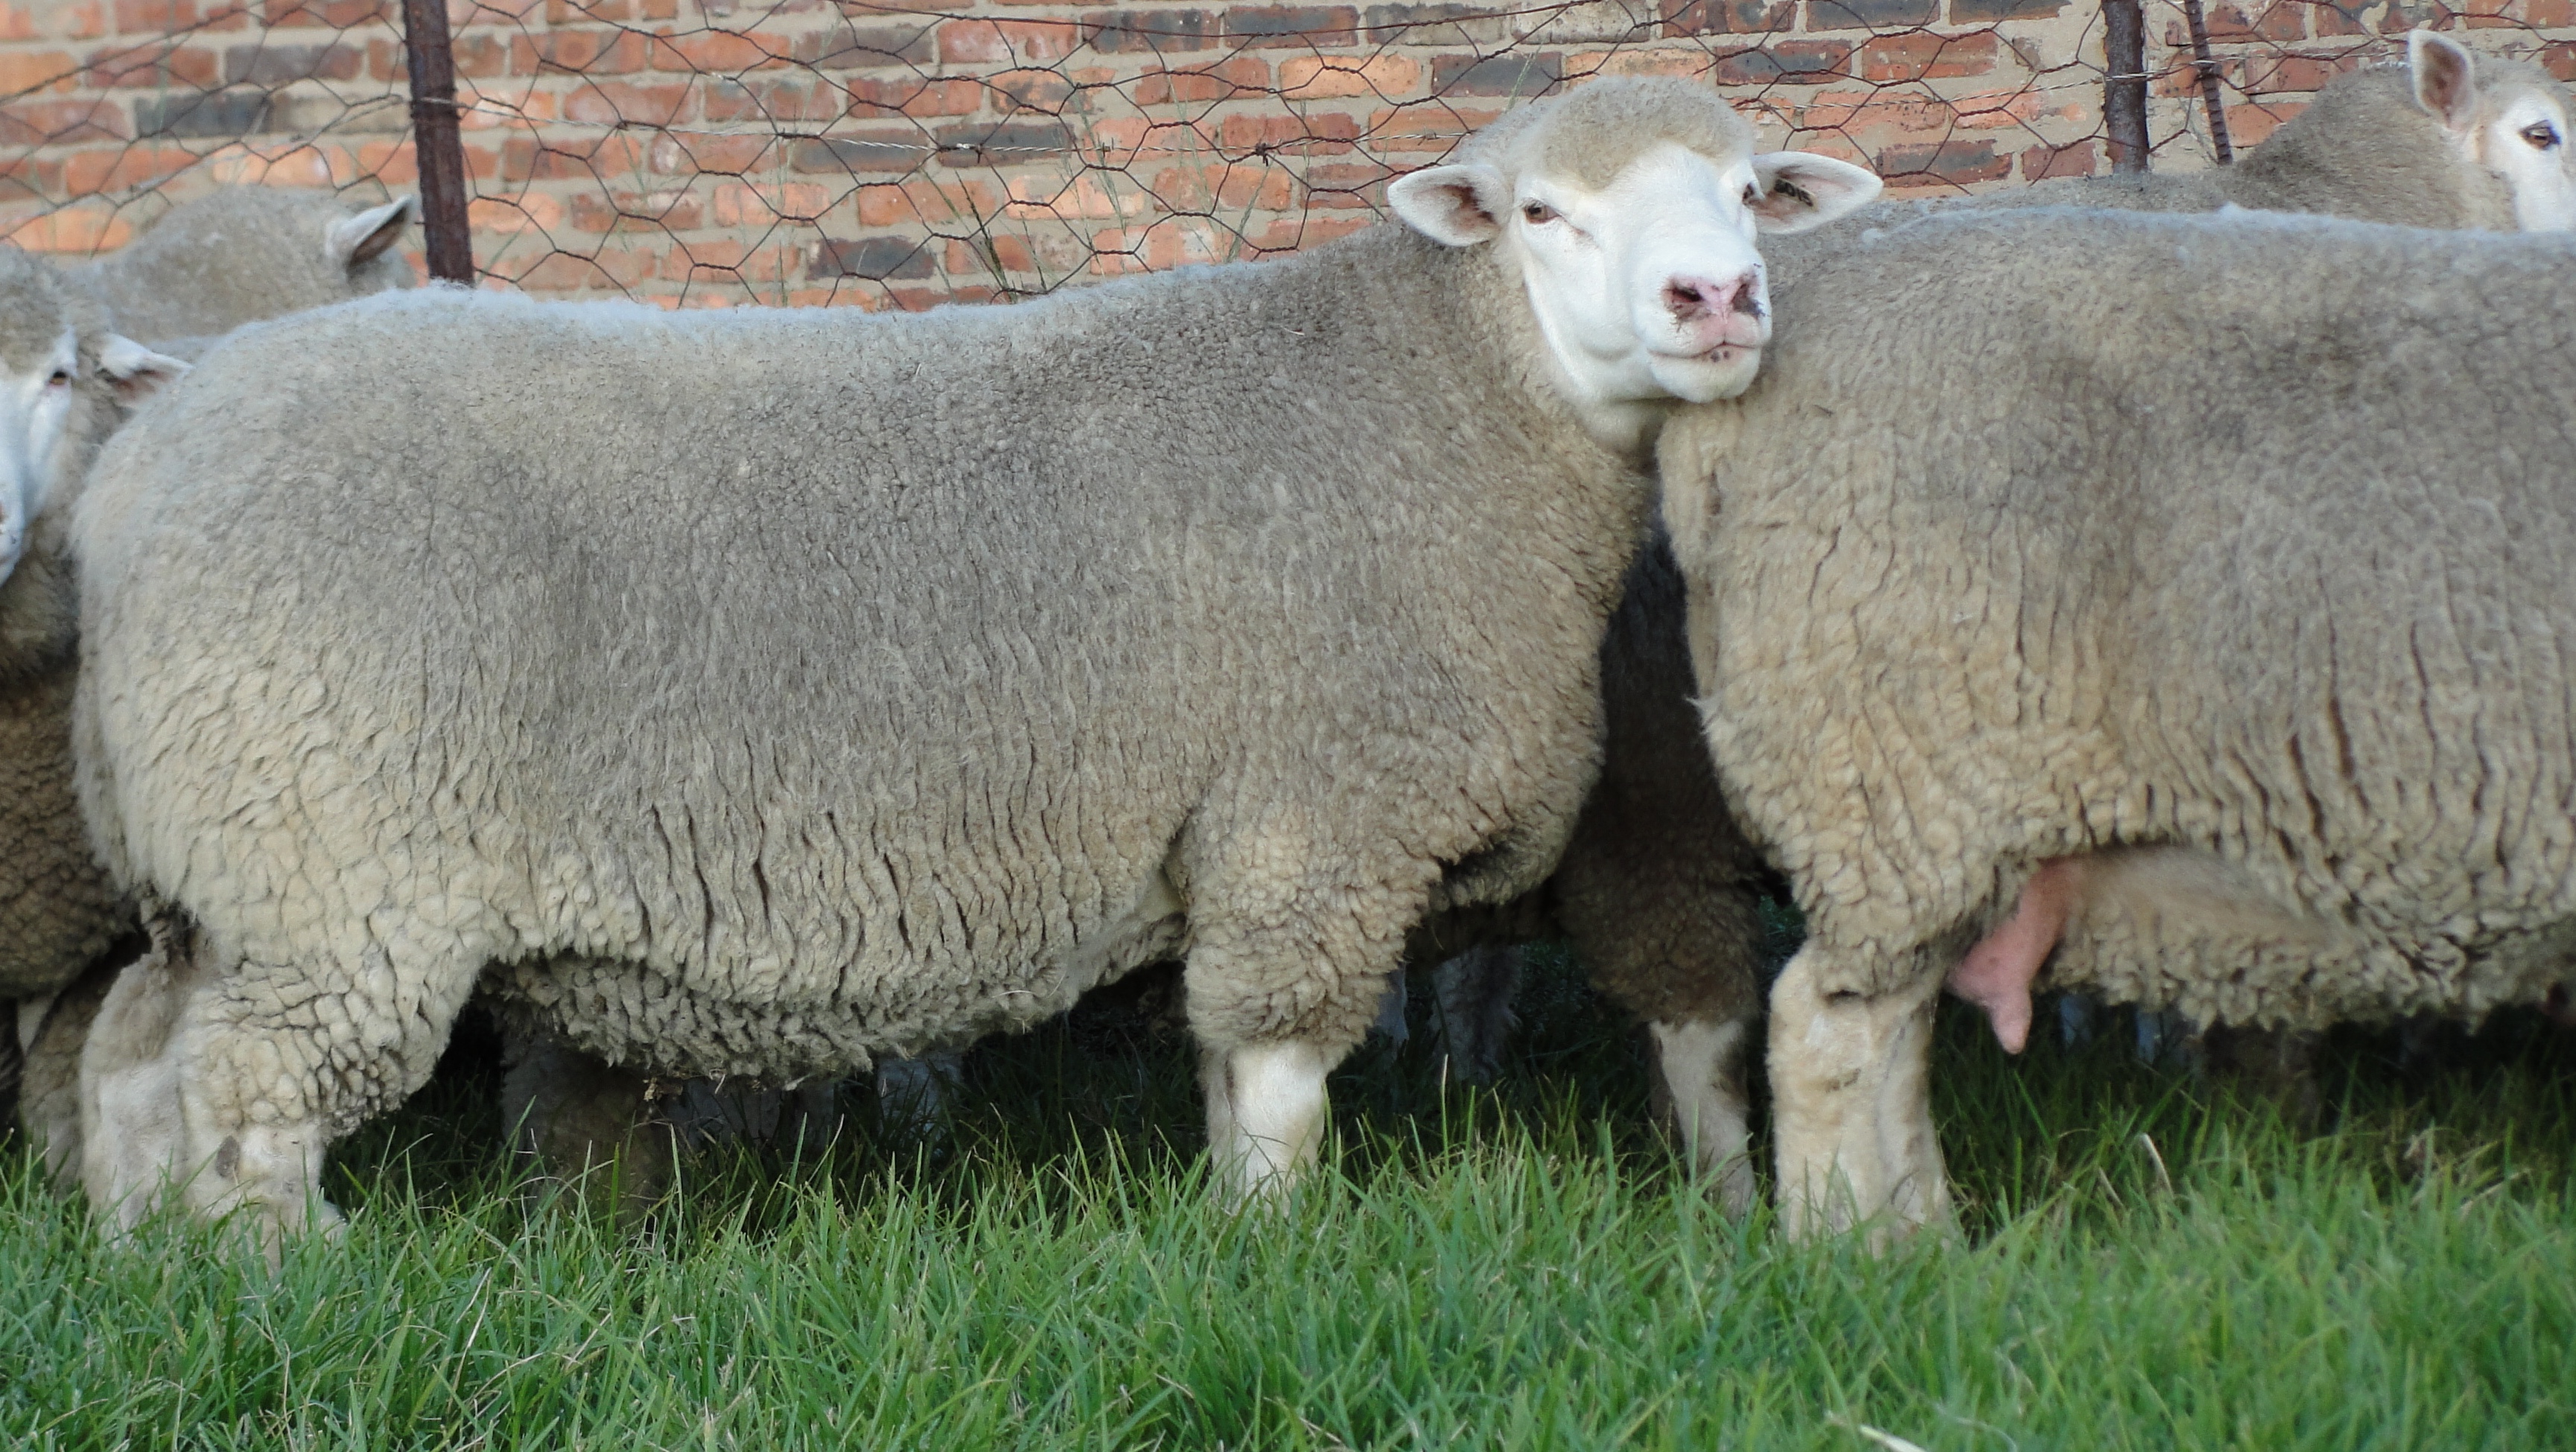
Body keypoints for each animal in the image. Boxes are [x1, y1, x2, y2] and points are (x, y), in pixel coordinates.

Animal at [55, 79, 1875, 1235]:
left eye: (1746, 190)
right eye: (1543, 212)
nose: (1716, 297)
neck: (1444, 396)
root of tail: (143, 474)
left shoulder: (1228, 837)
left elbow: (1219, 1065)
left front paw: (1226, 1229)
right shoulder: (1310, 823)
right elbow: (1283, 1073)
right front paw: (1282, 1245)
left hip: (215, 862)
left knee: (136, 1061)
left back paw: (152, 1272)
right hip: (330, 855)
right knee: (249, 1098)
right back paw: (288, 1285)